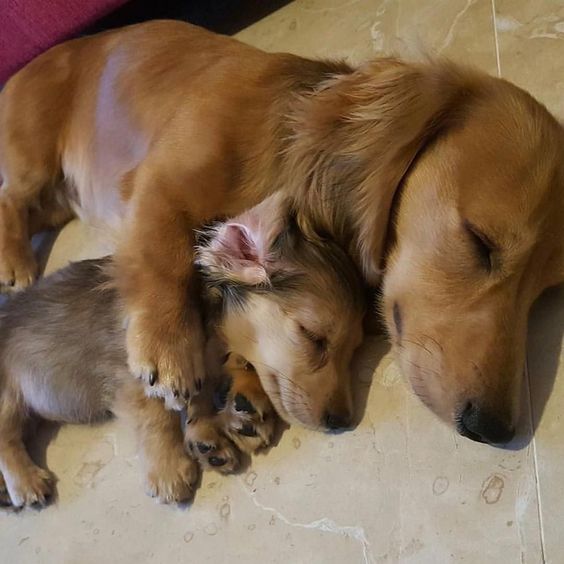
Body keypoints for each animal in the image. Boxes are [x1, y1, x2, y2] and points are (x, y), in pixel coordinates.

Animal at [0, 194, 364, 506]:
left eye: (353, 350)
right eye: (313, 336)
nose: (342, 421)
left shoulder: (199, 374)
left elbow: (201, 401)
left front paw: (212, 432)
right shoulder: (138, 377)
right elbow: (157, 417)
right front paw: (168, 470)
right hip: (7, 398)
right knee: (7, 439)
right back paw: (26, 482)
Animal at [1, 20, 564, 446]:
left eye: (545, 293)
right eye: (479, 242)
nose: (493, 428)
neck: (276, 142)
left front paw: (243, 381)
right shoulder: (160, 183)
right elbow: (161, 253)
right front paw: (167, 346)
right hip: (32, 158)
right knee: (11, 196)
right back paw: (15, 262)